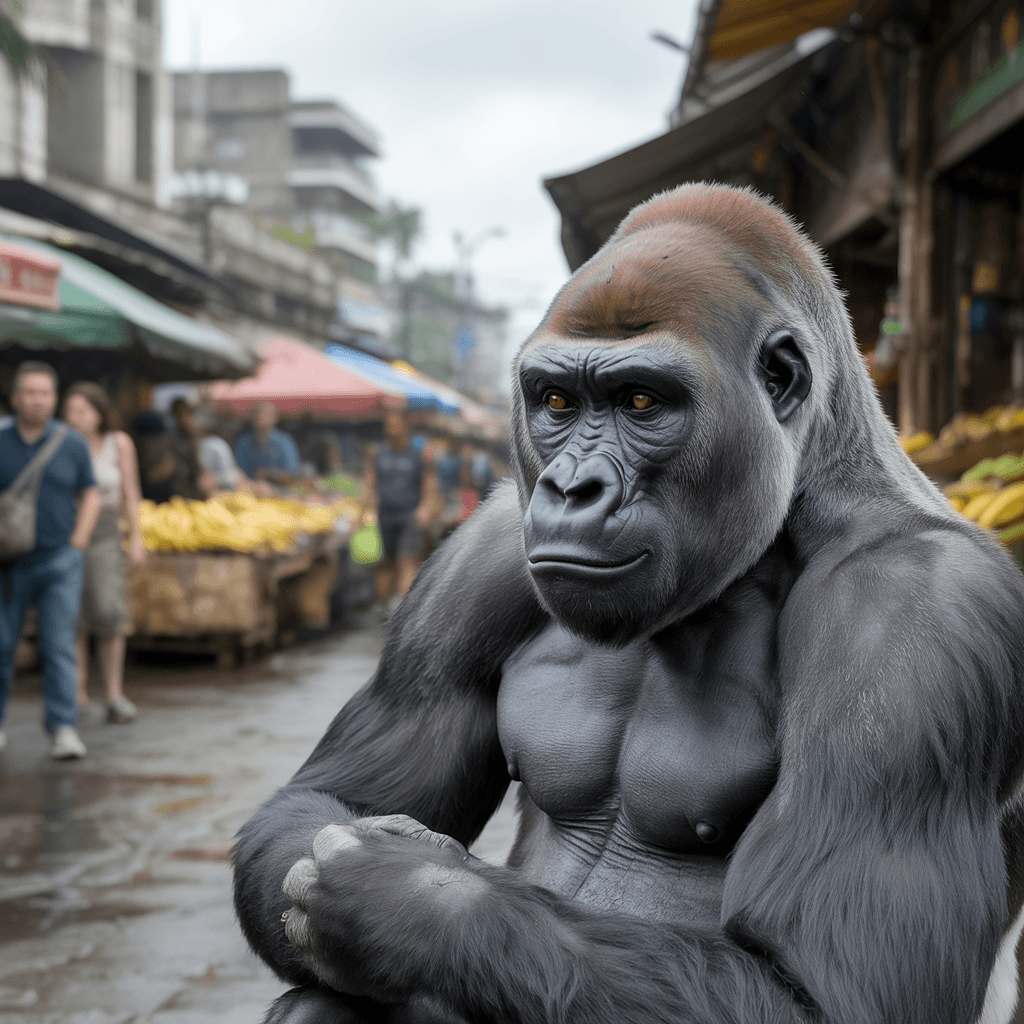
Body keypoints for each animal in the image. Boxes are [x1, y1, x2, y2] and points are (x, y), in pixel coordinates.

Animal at [234, 183, 1024, 1024]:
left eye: (641, 400)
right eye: (555, 400)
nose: (570, 488)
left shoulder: (920, 608)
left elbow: (831, 994)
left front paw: (402, 898)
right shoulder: (477, 560)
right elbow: (328, 796)